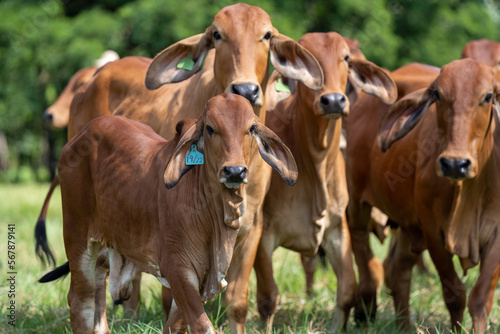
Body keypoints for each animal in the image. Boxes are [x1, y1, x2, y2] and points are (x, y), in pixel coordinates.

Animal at [40, 94, 296, 334]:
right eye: (210, 128)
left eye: (251, 128)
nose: (235, 171)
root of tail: (78, 138)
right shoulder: (178, 268)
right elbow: (202, 326)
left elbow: (175, 326)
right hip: (78, 239)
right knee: (80, 301)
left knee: (97, 294)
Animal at [254, 32, 398, 330]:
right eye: (303, 56)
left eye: (345, 57)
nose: (332, 100)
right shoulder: (263, 233)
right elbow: (268, 296)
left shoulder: (336, 230)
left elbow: (347, 291)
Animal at [348, 57, 500, 332]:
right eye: (438, 95)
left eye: (488, 96)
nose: (455, 164)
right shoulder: (432, 231)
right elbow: (455, 294)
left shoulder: (496, 233)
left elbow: (481, 297)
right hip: (356, 198)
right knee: (362, 246)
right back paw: (366, 306)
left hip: (408, 225)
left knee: (397, 272)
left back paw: (404, 327)